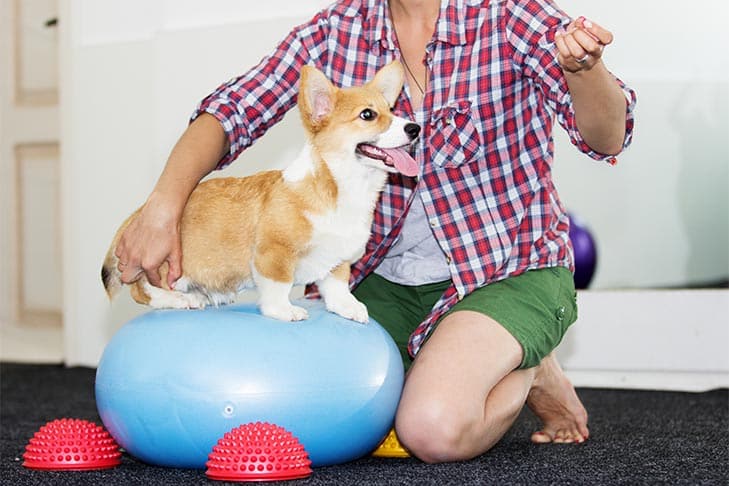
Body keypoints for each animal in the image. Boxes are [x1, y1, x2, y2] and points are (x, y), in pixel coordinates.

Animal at [102, 62, 420, 324]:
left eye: (391, 111)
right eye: (368, 115)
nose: (415, 128)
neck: (341, 186)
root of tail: (136, 215)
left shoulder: (337, 259)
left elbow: (337, 286)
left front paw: (348, 307)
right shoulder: (274, 253)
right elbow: (279, 287)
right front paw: (285, 311)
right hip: (166, 268)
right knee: (142, 291)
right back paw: (181, 299)